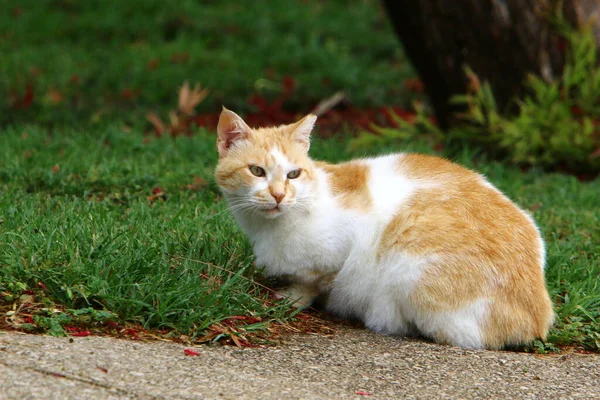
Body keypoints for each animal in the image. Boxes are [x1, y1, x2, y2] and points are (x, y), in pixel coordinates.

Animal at [214, 108, 552, 348]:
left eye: (293, 174)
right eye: (257, 171)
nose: (279, 195)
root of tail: (538, 317)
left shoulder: (345, 245)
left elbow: (315, 281)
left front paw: (292, 297)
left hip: (410, 269)